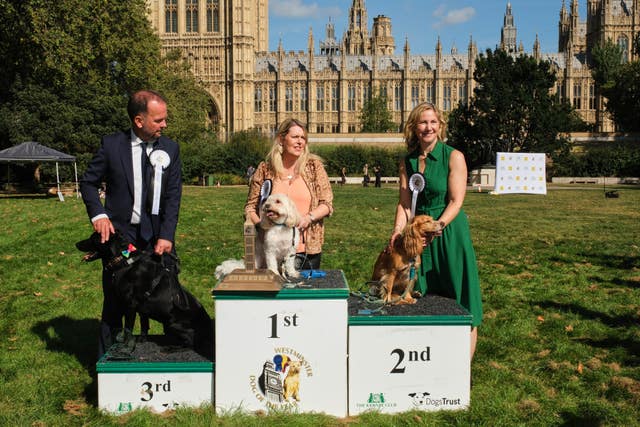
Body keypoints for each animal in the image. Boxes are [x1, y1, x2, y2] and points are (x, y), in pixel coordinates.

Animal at [76, 232, 214, 360]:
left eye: (93, 238)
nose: (76, 244)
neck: (125, 261)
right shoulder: (142, 309)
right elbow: (144, 324)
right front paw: (142, 340)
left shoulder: (130, 306)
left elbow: (128, 329)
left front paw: (125, 346)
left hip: (172, 324)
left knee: (191, 342)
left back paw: (171, 348)